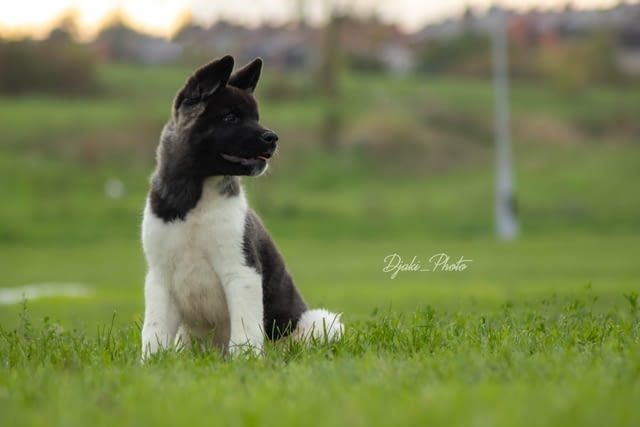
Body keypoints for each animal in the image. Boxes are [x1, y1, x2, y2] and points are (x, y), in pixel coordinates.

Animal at [142, 56, 344, 358]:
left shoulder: (241, 271)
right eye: (231, 118)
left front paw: (245, 361)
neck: (195, 197)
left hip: (321, 322)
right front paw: (151, 362)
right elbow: (153, 331)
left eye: (256, 118)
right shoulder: (159, 278)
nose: (273, 138)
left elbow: (244, 329)